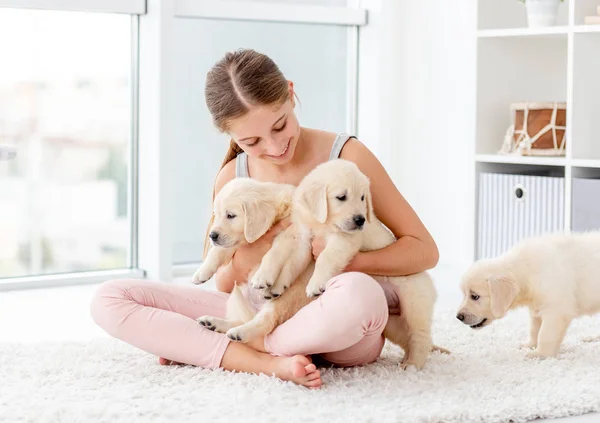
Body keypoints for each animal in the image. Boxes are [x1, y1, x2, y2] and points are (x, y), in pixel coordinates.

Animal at [458, 234, 600, 360]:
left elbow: (545, 334)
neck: (527, 270)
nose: (459, 317)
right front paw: (530, 345)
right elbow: (534, 329)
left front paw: (540, 354)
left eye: (475, 296)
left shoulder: (555, 310)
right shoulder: (535, 307)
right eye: (465, 295)